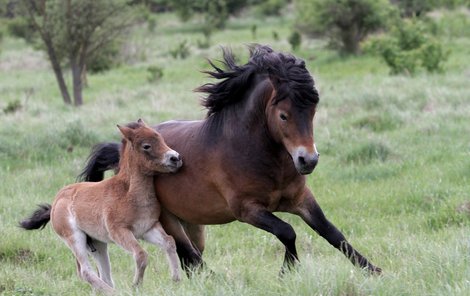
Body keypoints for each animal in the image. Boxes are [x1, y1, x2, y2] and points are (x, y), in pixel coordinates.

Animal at [22, 119, 184, 294]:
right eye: (146, 146)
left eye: (161, 138)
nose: (175, 158)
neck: (128, 193)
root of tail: (56, 202)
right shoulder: (119, 232)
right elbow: (141, 254)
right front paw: (136, 286)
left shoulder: (148, 229)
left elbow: (169, 242)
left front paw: (176, 280)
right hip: (74, 238)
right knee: (86, 271)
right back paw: (115, 293)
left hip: (97, 244)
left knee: (104, 276)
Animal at [80, 45, 382, 276]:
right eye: (283, 115)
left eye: (313, 110)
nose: (308, 160)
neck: (255, 153)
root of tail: (122, 153)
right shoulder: (247, 210)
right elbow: (287, 232)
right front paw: (287, 272)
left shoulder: (301, 200)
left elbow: (332, 233)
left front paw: (373, 270)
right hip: (168, 222)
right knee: (189, 256)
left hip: (194, 224)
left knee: (191, 259)